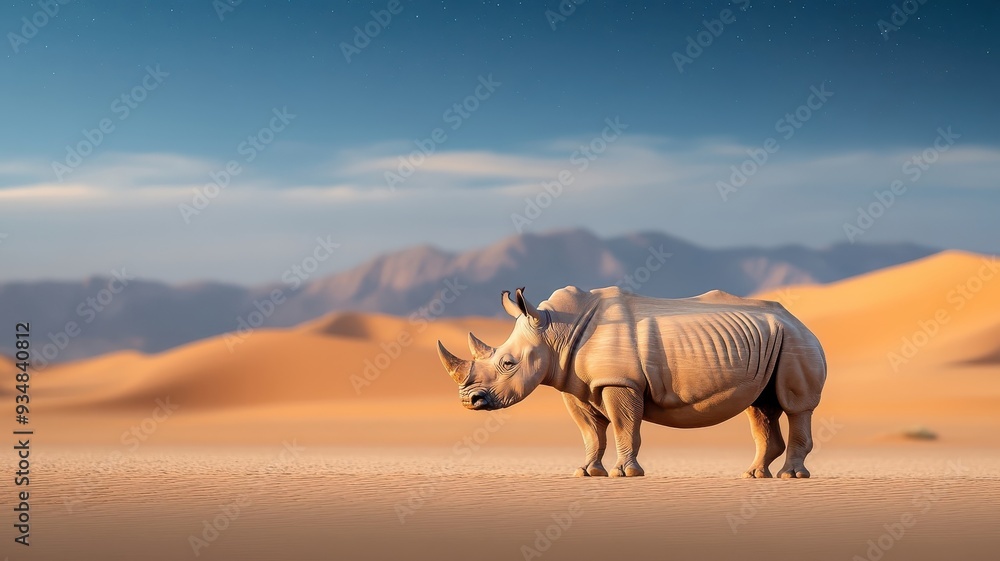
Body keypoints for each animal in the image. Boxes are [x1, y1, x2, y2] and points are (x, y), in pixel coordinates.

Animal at [437, 286, 827, 478]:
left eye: (508, 363)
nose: (468, 401)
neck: (555, 331)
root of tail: (800, 320)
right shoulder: (577, 385)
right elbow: (591, 432)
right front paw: (586, 472)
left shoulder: (619, 382)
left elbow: (626, 426)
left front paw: (625, 473)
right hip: (773, 341)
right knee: (760, 408)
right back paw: (754, 475)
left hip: (796, 340)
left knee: (795, 407)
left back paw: (791, 477)